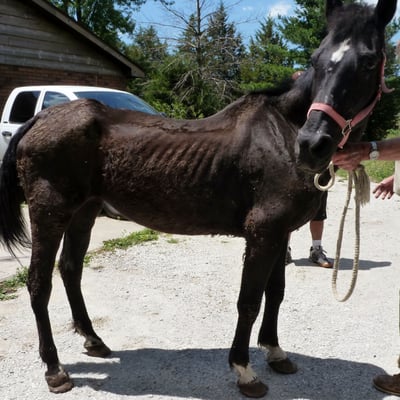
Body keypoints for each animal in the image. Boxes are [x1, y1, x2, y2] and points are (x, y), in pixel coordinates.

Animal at [0, 0, 396, 396]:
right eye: (315, 60)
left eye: (368, 61)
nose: (312, 144)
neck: (282, 133)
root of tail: (40, 119)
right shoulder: (262, 234)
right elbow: (249, 301)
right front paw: (244, 370)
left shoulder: (279, 233)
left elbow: (276, 293)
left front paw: (275, 352)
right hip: (49, 212)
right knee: (39, 283)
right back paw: (55, 369)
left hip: (84, 211)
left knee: (70, 269)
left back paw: (93, 340)